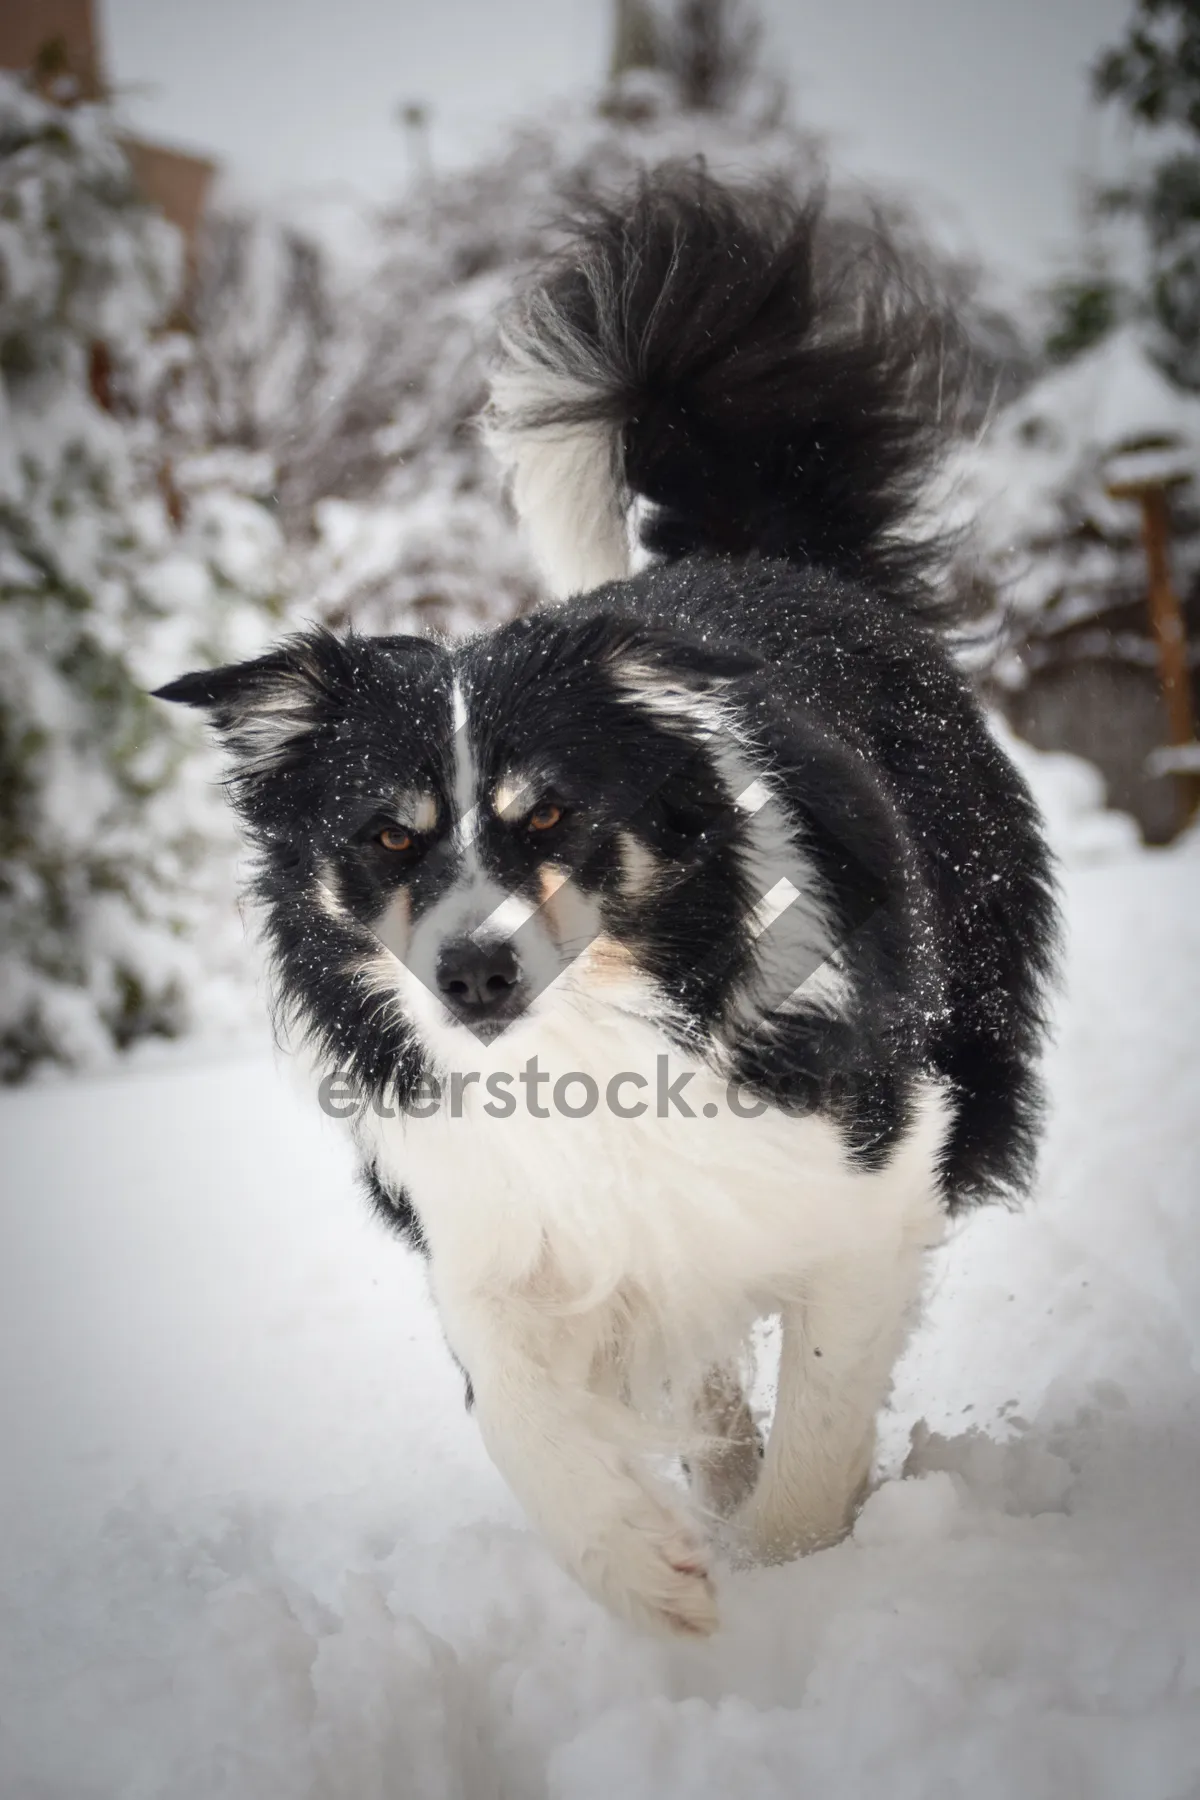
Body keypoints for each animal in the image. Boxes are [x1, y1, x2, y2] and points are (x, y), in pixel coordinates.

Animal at [154, 175, 1057, 1641]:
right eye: (389, 834)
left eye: (547, 816)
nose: (473, 973)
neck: (585, 1038)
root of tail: (763, 557)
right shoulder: (492, 1221)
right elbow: (525, 1414)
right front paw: (646, 1571)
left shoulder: (870, 1167)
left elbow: (824, 1411)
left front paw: (796, 1584)